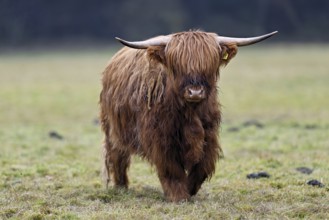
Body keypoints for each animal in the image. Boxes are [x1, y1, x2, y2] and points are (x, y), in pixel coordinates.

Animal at [100, 30, 276, 202]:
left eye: (209, 65)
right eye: (177, 66)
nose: (195, 92)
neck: (190, 112)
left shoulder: (209, 135)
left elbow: (202, 167)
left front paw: (190, 189)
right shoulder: (161, 137)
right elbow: (171, 169)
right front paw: (178, 196)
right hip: (113, 129)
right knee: (117, 156)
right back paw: (121, 187)